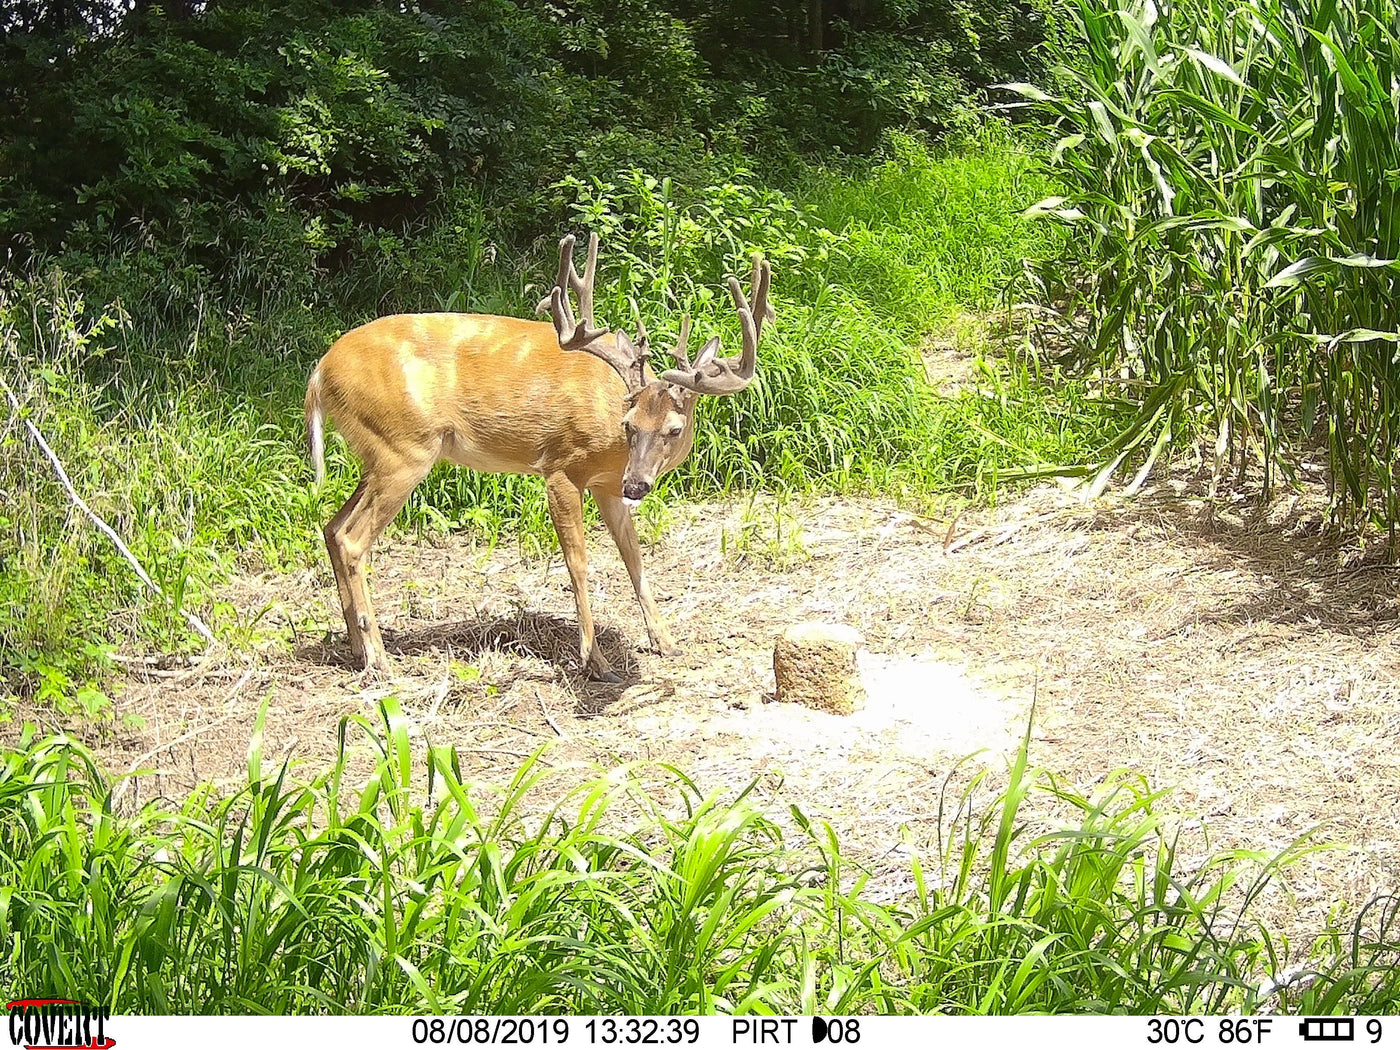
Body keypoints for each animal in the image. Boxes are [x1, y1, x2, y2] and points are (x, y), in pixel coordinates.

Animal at [303, 233, 774, 682]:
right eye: (628, 424)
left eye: (673, 430)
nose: (638, 484)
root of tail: (319, 373)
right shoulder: (561, 467)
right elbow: (578, 562)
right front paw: (595, 661)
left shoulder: (607, 485)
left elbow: (633, 554)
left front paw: (665, 641)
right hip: (405, 448)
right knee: (352, 539)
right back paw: (380, 660)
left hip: (379, 453)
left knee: (332, 527)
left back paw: (356, 649)